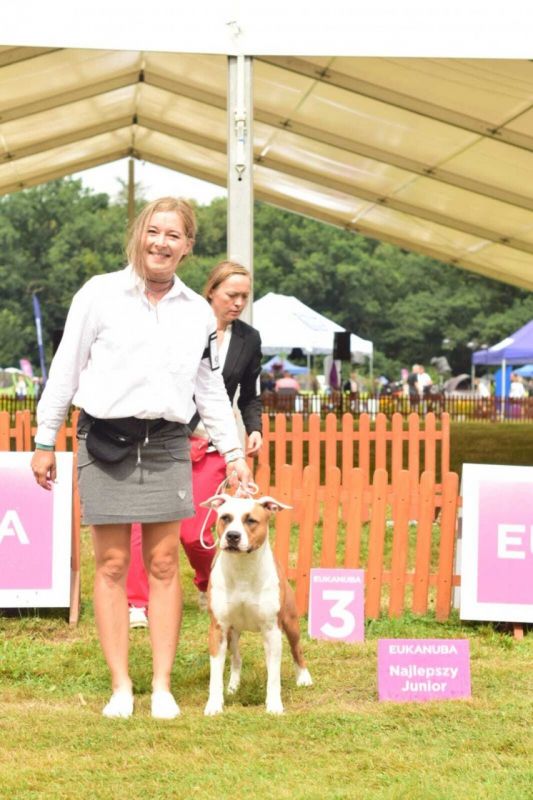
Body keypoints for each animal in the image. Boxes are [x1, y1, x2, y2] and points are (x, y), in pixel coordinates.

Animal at [200, 493, 313, 715]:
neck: (243, 568)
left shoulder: (272, 629)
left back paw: (303, 678)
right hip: (232, 632)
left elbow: (274, 675)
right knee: (236, 658)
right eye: (225, 518)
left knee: (296, 649)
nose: (232, 536)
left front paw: (274, 705)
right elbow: (215, 675)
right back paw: (233, 686)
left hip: (291, 623)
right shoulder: (218, 629)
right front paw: (214, 705)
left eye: (251, 520)